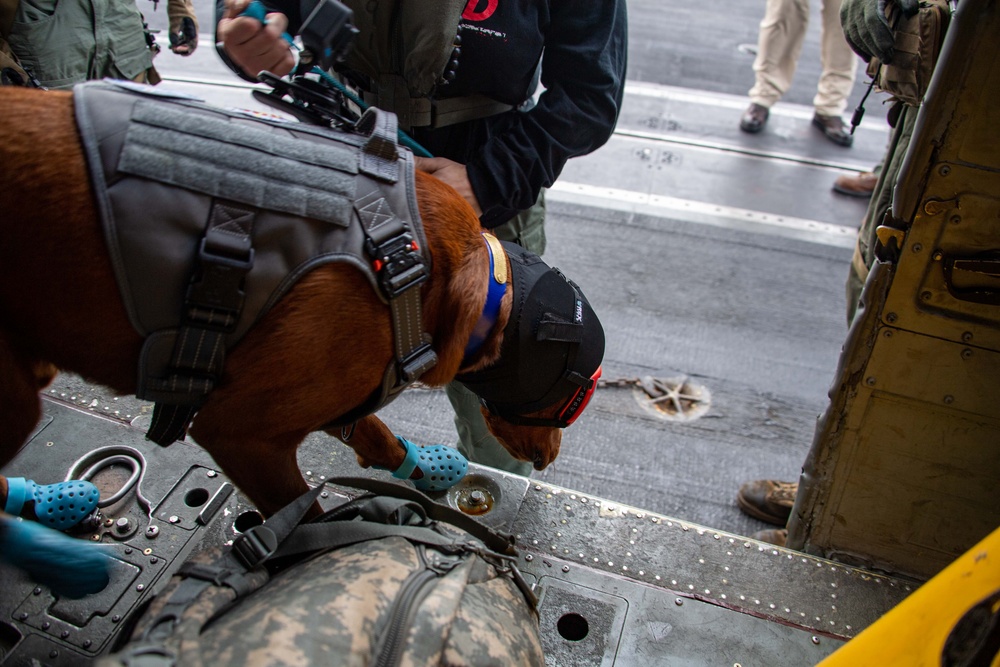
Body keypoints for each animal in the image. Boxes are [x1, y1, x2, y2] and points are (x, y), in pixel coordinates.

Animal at [0, 87, 600, 516]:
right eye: (564, 405)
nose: (548, 459)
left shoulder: (333, 397)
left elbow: (377, 435)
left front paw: (422, 469)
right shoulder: (240, 432)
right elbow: (300, 516)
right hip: (17, 401)